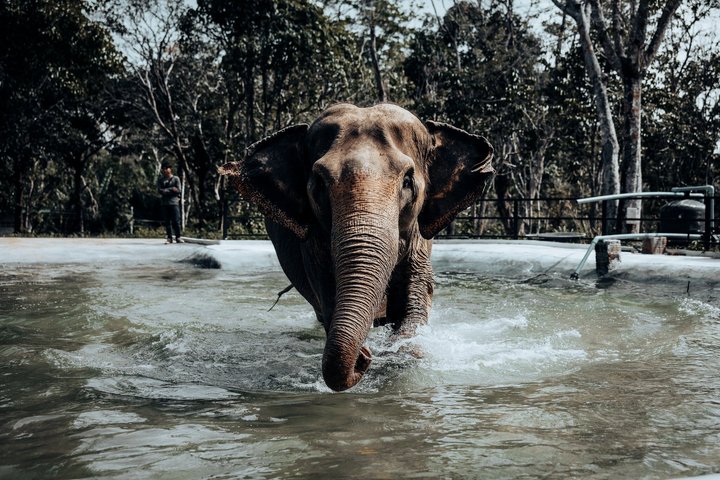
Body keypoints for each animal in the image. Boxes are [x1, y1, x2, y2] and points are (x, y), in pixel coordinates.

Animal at [220, 103, 493, 391]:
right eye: (319, 184)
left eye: (408, 181)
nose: (364, 357)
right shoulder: (313, 245)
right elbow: (328, 296)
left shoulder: (419, 239)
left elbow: (416, 300)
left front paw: (400, 354)